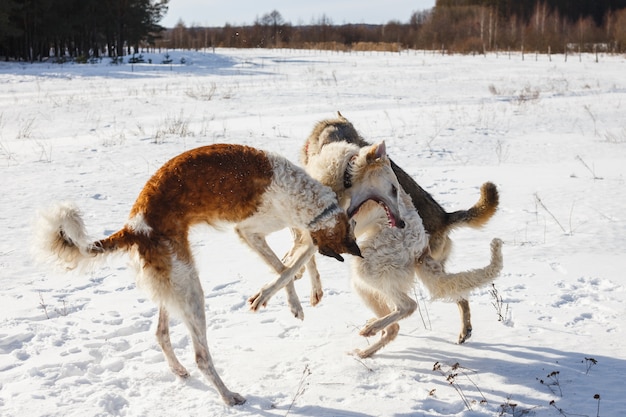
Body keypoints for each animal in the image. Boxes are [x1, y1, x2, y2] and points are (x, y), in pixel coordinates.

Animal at [35, 142, 360, 404]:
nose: (356, 251)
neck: (301, 193)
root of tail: (134, 228)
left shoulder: (277, 232)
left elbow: (292, 265)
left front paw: (304, 294)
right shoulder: (250, 231)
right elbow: (285, 269)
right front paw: (278, 299)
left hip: (174, 283)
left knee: (161, 333)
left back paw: (179, 370)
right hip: (191, 287)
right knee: (202, 357)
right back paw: (228, 396)